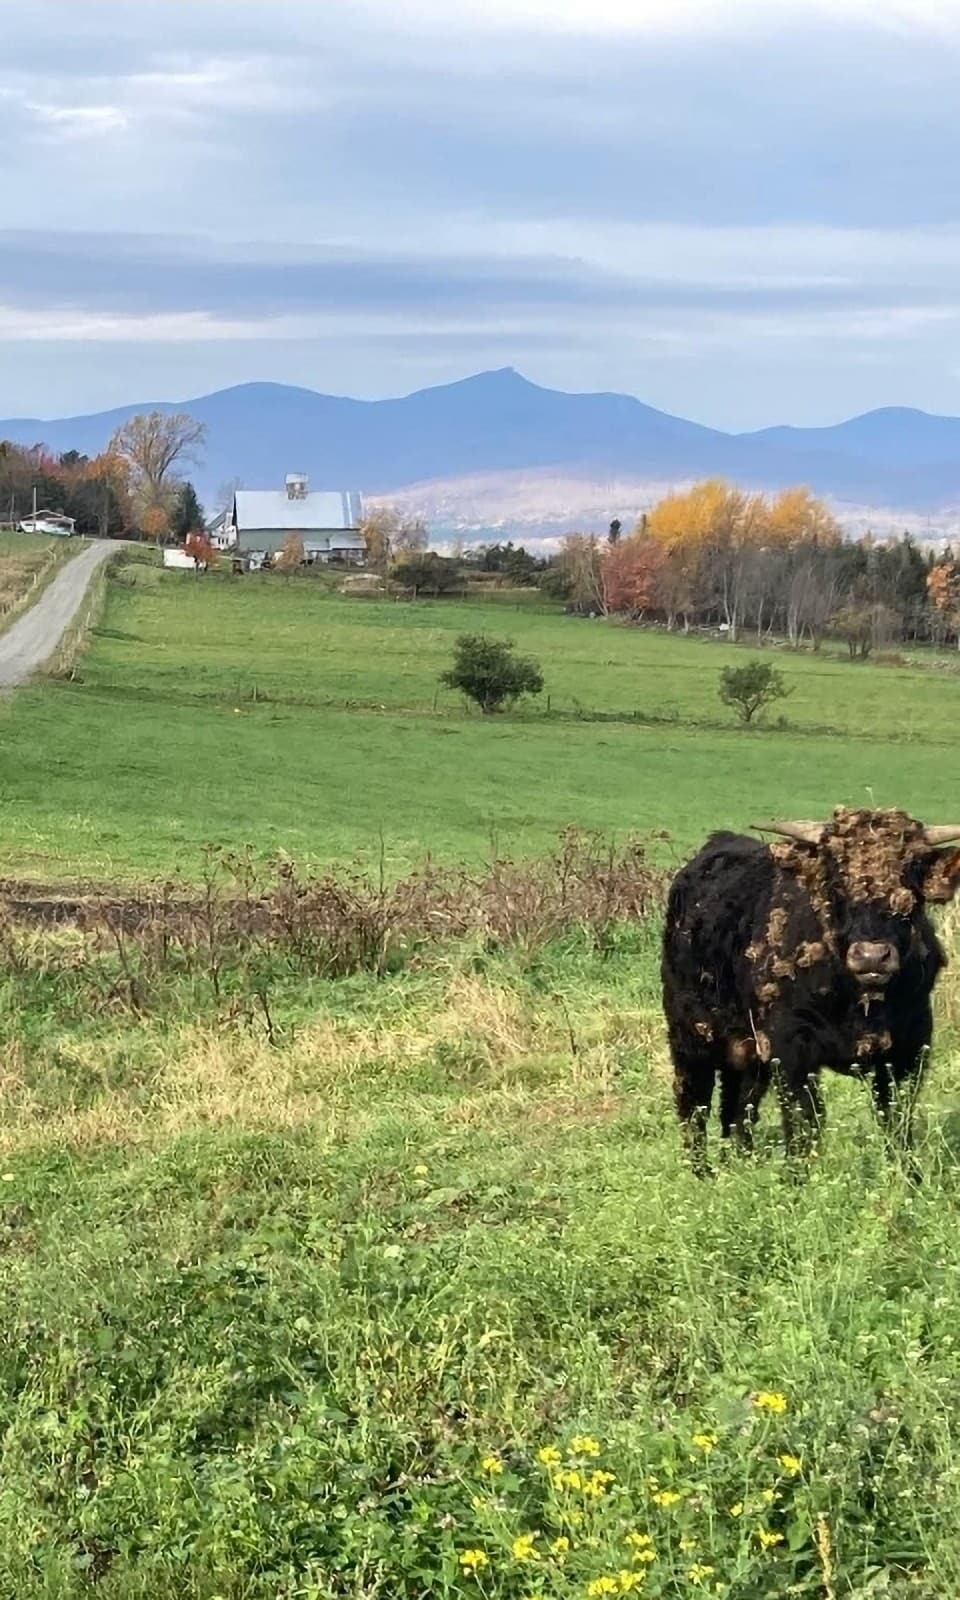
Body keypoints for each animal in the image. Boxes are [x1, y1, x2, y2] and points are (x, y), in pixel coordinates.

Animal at [662, 806, 960, 1171]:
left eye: (912, 873)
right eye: (833, 877)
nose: (871, 956)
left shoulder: (910, 1048)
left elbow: (896, 1120)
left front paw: (906, 1176)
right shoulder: (790, 1048)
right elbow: (805, 1120)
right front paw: (797, 1177)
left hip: (747, 1049)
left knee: (739, 1108)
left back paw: (742, 1165)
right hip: (690, 1035)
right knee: (694, 1105)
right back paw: (702, 1173)